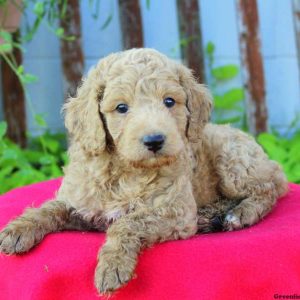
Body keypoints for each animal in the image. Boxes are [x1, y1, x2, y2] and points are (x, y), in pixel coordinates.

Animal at [0, 48, 288, 294]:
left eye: (169, 101)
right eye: (121, 107)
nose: (154, 140)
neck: (126, 171)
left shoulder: (175, 211)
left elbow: (128, 222)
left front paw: (113, 266)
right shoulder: (83, 203)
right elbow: (51, 208)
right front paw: (18, 229)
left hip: (232, 158)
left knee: (268, 189)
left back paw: (240, 213)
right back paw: (210, 215)